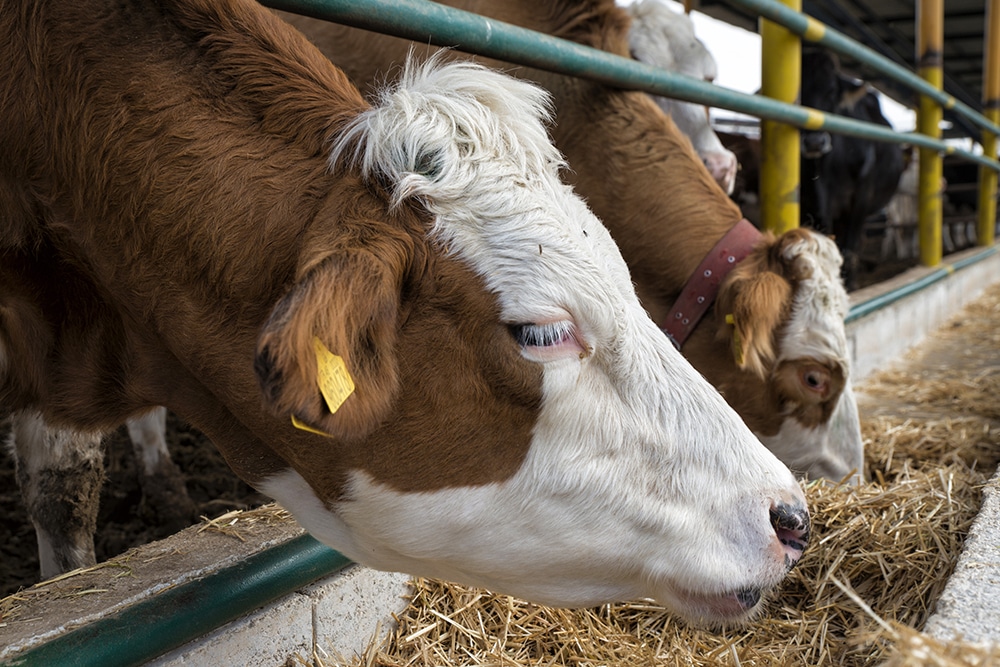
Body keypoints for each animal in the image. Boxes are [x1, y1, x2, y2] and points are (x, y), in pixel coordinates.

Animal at [800, 48, 906, 291]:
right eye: (798, 91)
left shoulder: (861, 198)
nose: (814, 142)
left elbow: (849, 249)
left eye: (831, 93)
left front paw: (850, 286)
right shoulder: (814, 202)